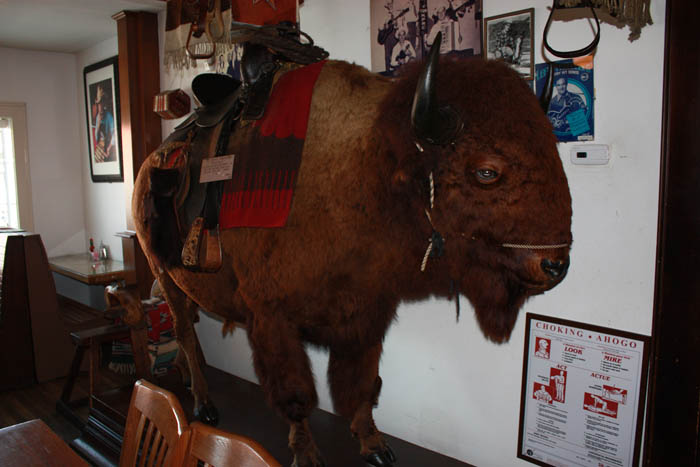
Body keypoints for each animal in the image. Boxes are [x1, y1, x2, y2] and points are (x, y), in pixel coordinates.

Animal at [132, 38, 572, 467]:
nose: (555, 264)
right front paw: (306, 454)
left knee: (189, 326)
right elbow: (297, 395)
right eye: (486, 171)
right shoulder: (272, 318)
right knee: (183, 329)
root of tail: (149, 165)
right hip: (162, 270)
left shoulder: (366, 313)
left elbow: (362, 384)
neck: (367, 166)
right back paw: (203, 404)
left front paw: (374, 444)